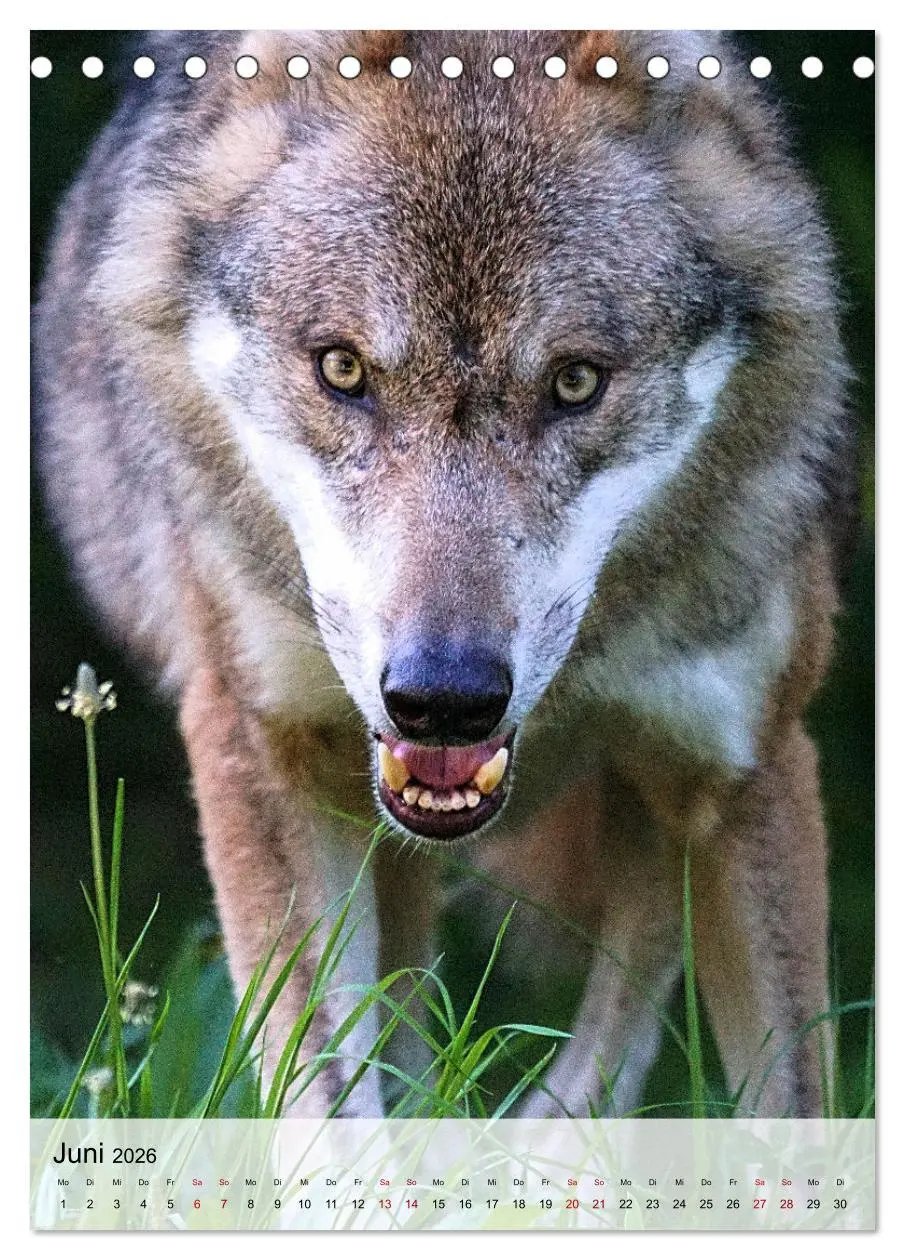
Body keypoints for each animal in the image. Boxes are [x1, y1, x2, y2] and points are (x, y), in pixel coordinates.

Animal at [35, 29, 852, 1118]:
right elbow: (332, 1116)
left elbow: (790, 1118)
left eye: (574, 382)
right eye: (342, 370)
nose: (444, 698)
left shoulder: (748, 764)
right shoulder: (258, 744)